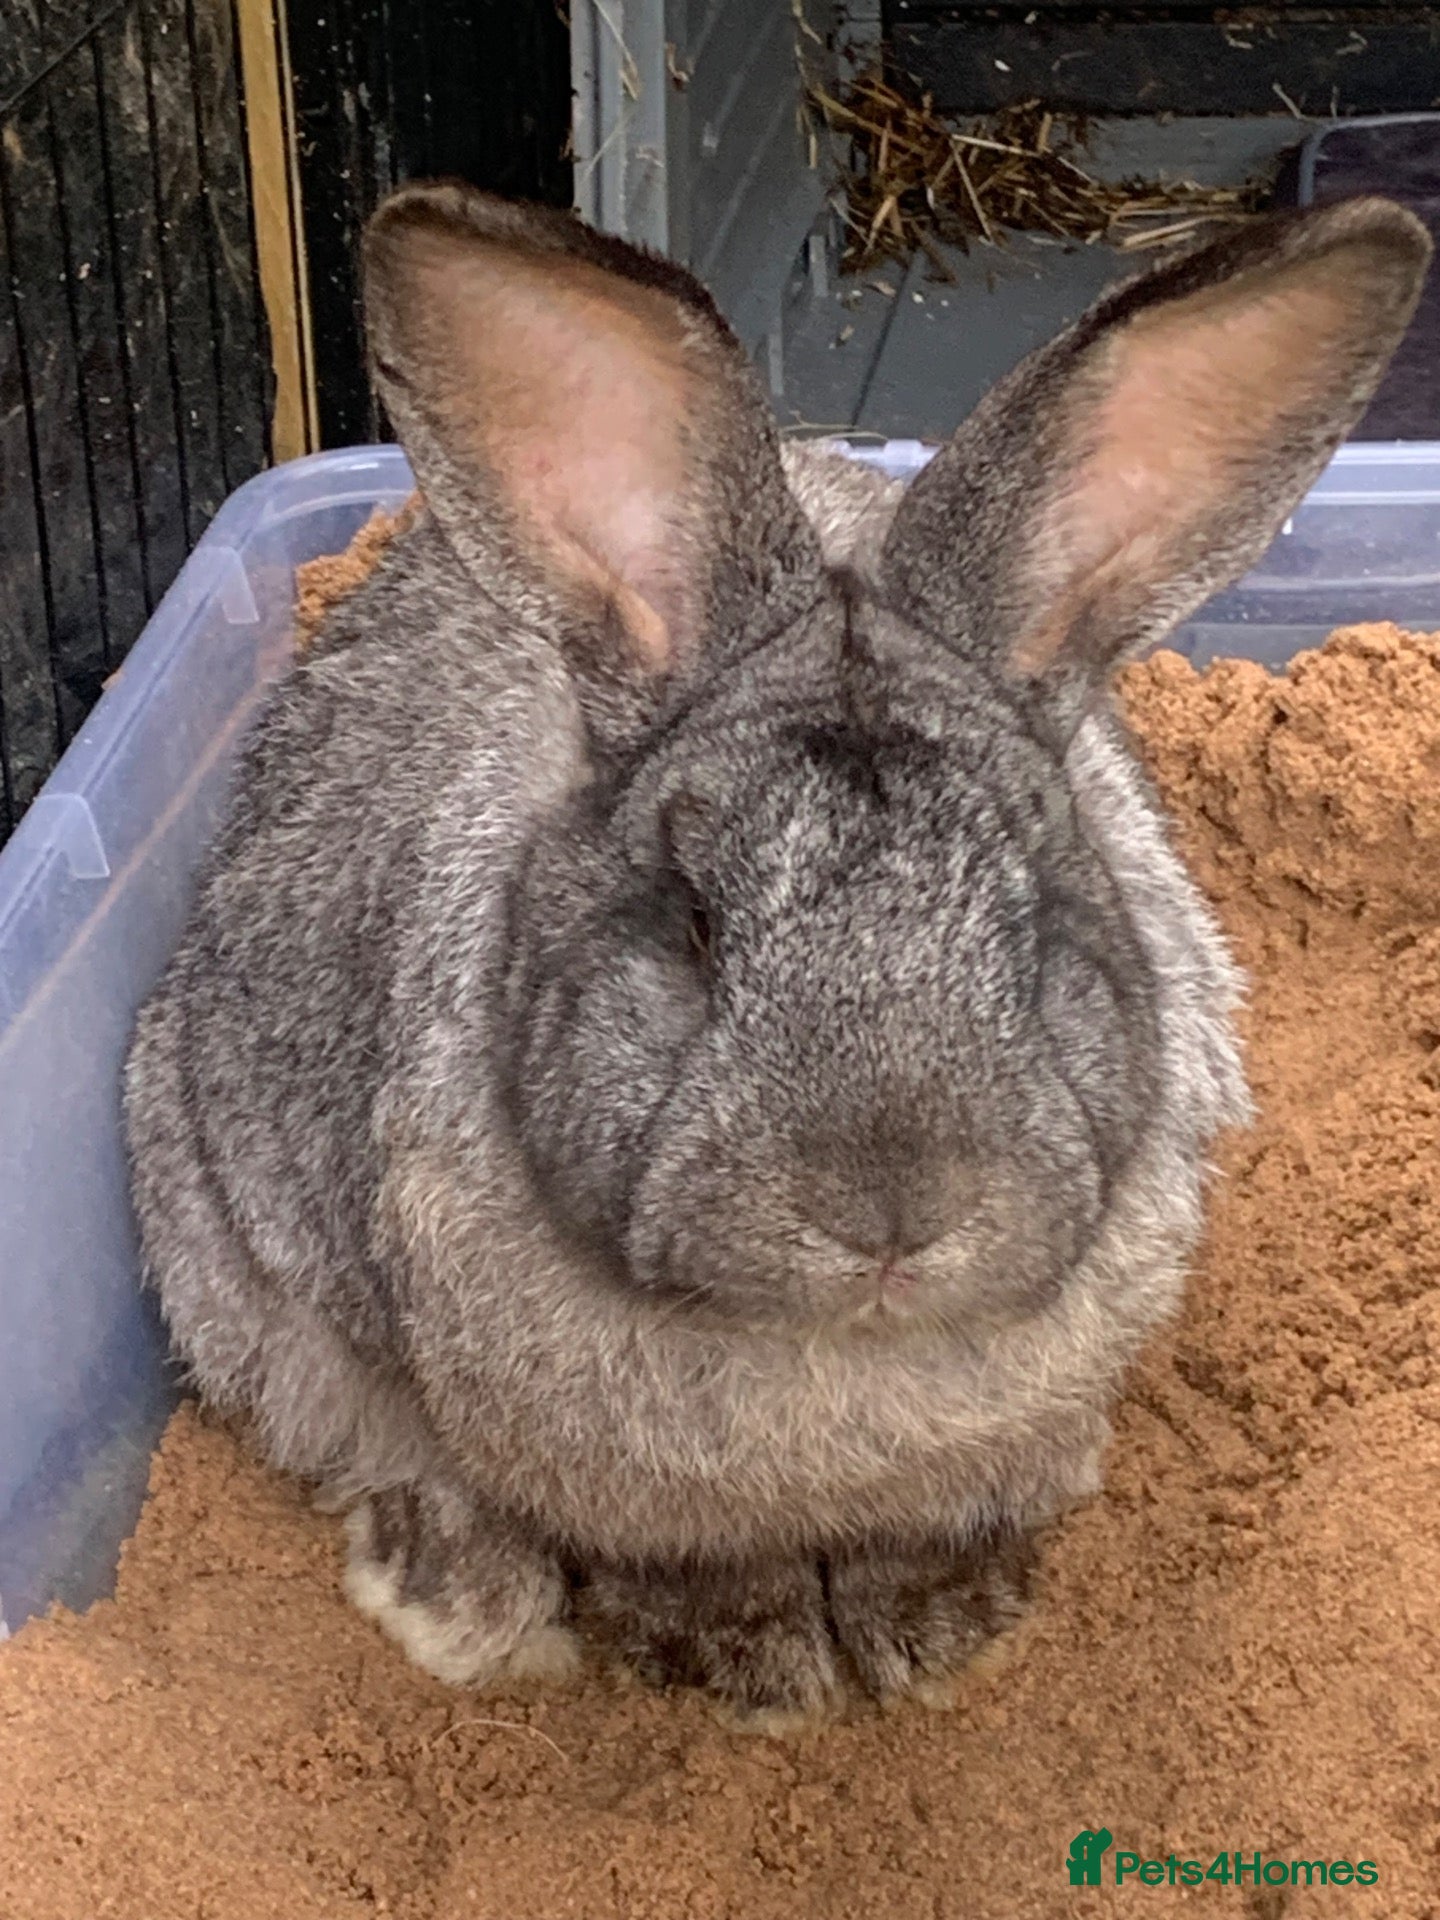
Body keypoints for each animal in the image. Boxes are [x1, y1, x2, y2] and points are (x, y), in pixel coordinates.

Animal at [123, 182, 1429, 1724]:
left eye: (1039, 914)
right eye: (694, 925)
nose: (892, 1215)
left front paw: (936, 1633)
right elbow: (684, 1566)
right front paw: (756, 1666)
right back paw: (463, 1598)